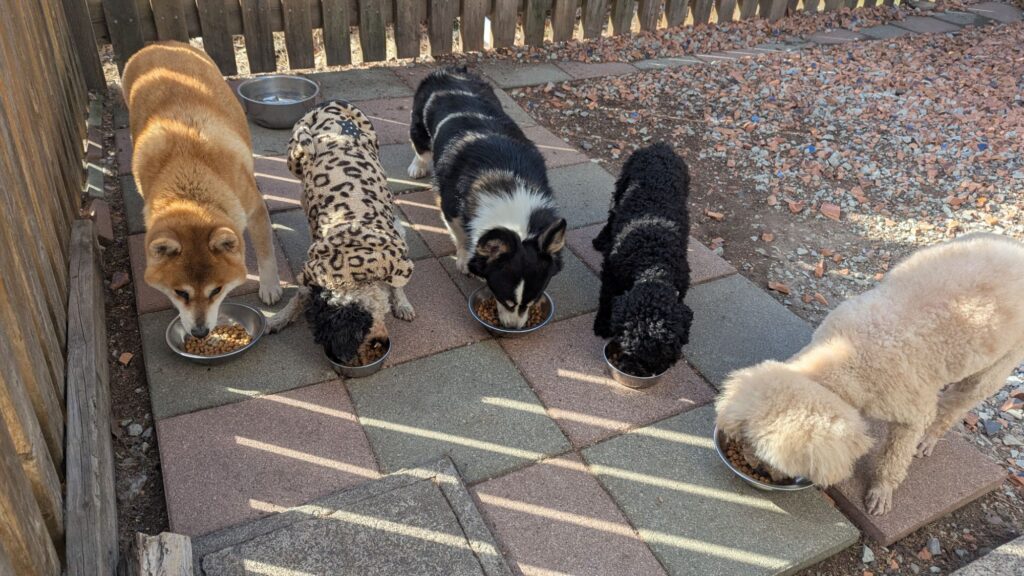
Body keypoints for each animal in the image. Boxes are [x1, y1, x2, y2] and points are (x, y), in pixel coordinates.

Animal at [122, 41, 282, 337]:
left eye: (216, 291)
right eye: (180, 293)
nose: (199, 332)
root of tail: (157, 43)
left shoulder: (254, 208)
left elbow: (266, 252)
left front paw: (270, 287)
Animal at [265, 101, 415, 365]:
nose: (380, 344)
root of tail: (330, 103)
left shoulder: (398, 252)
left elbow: (398, 285)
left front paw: (402, 304)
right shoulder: (312, 273)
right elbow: (299, 297)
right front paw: (279, 318)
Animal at [408, 67, 567, 328]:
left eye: (532, 302)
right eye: (505, 300)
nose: (513, 328)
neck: (508, 188)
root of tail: (450, 71)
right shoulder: (450, 208)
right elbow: (462, 235)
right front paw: (464, 260)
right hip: (419, 127)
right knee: (420, 148)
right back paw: (417, 166)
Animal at [592, 144, 693, 377]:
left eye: (666, 354)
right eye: (630, 349)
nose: (632, 370)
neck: (653, 260)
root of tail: (661, 146)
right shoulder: (611, 274)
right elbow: (606, 298)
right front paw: (601, 323)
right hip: (622, 185)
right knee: (612, 214)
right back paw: (601, 240)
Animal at [716, 234, 1024, 515]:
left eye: (774, 462)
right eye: (750, 445)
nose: (758, 469)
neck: (847, 355)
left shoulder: (913, 414)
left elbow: (894, 459)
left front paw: (881, 492)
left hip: (998, 366)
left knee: (956, 404)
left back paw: (929, 438)